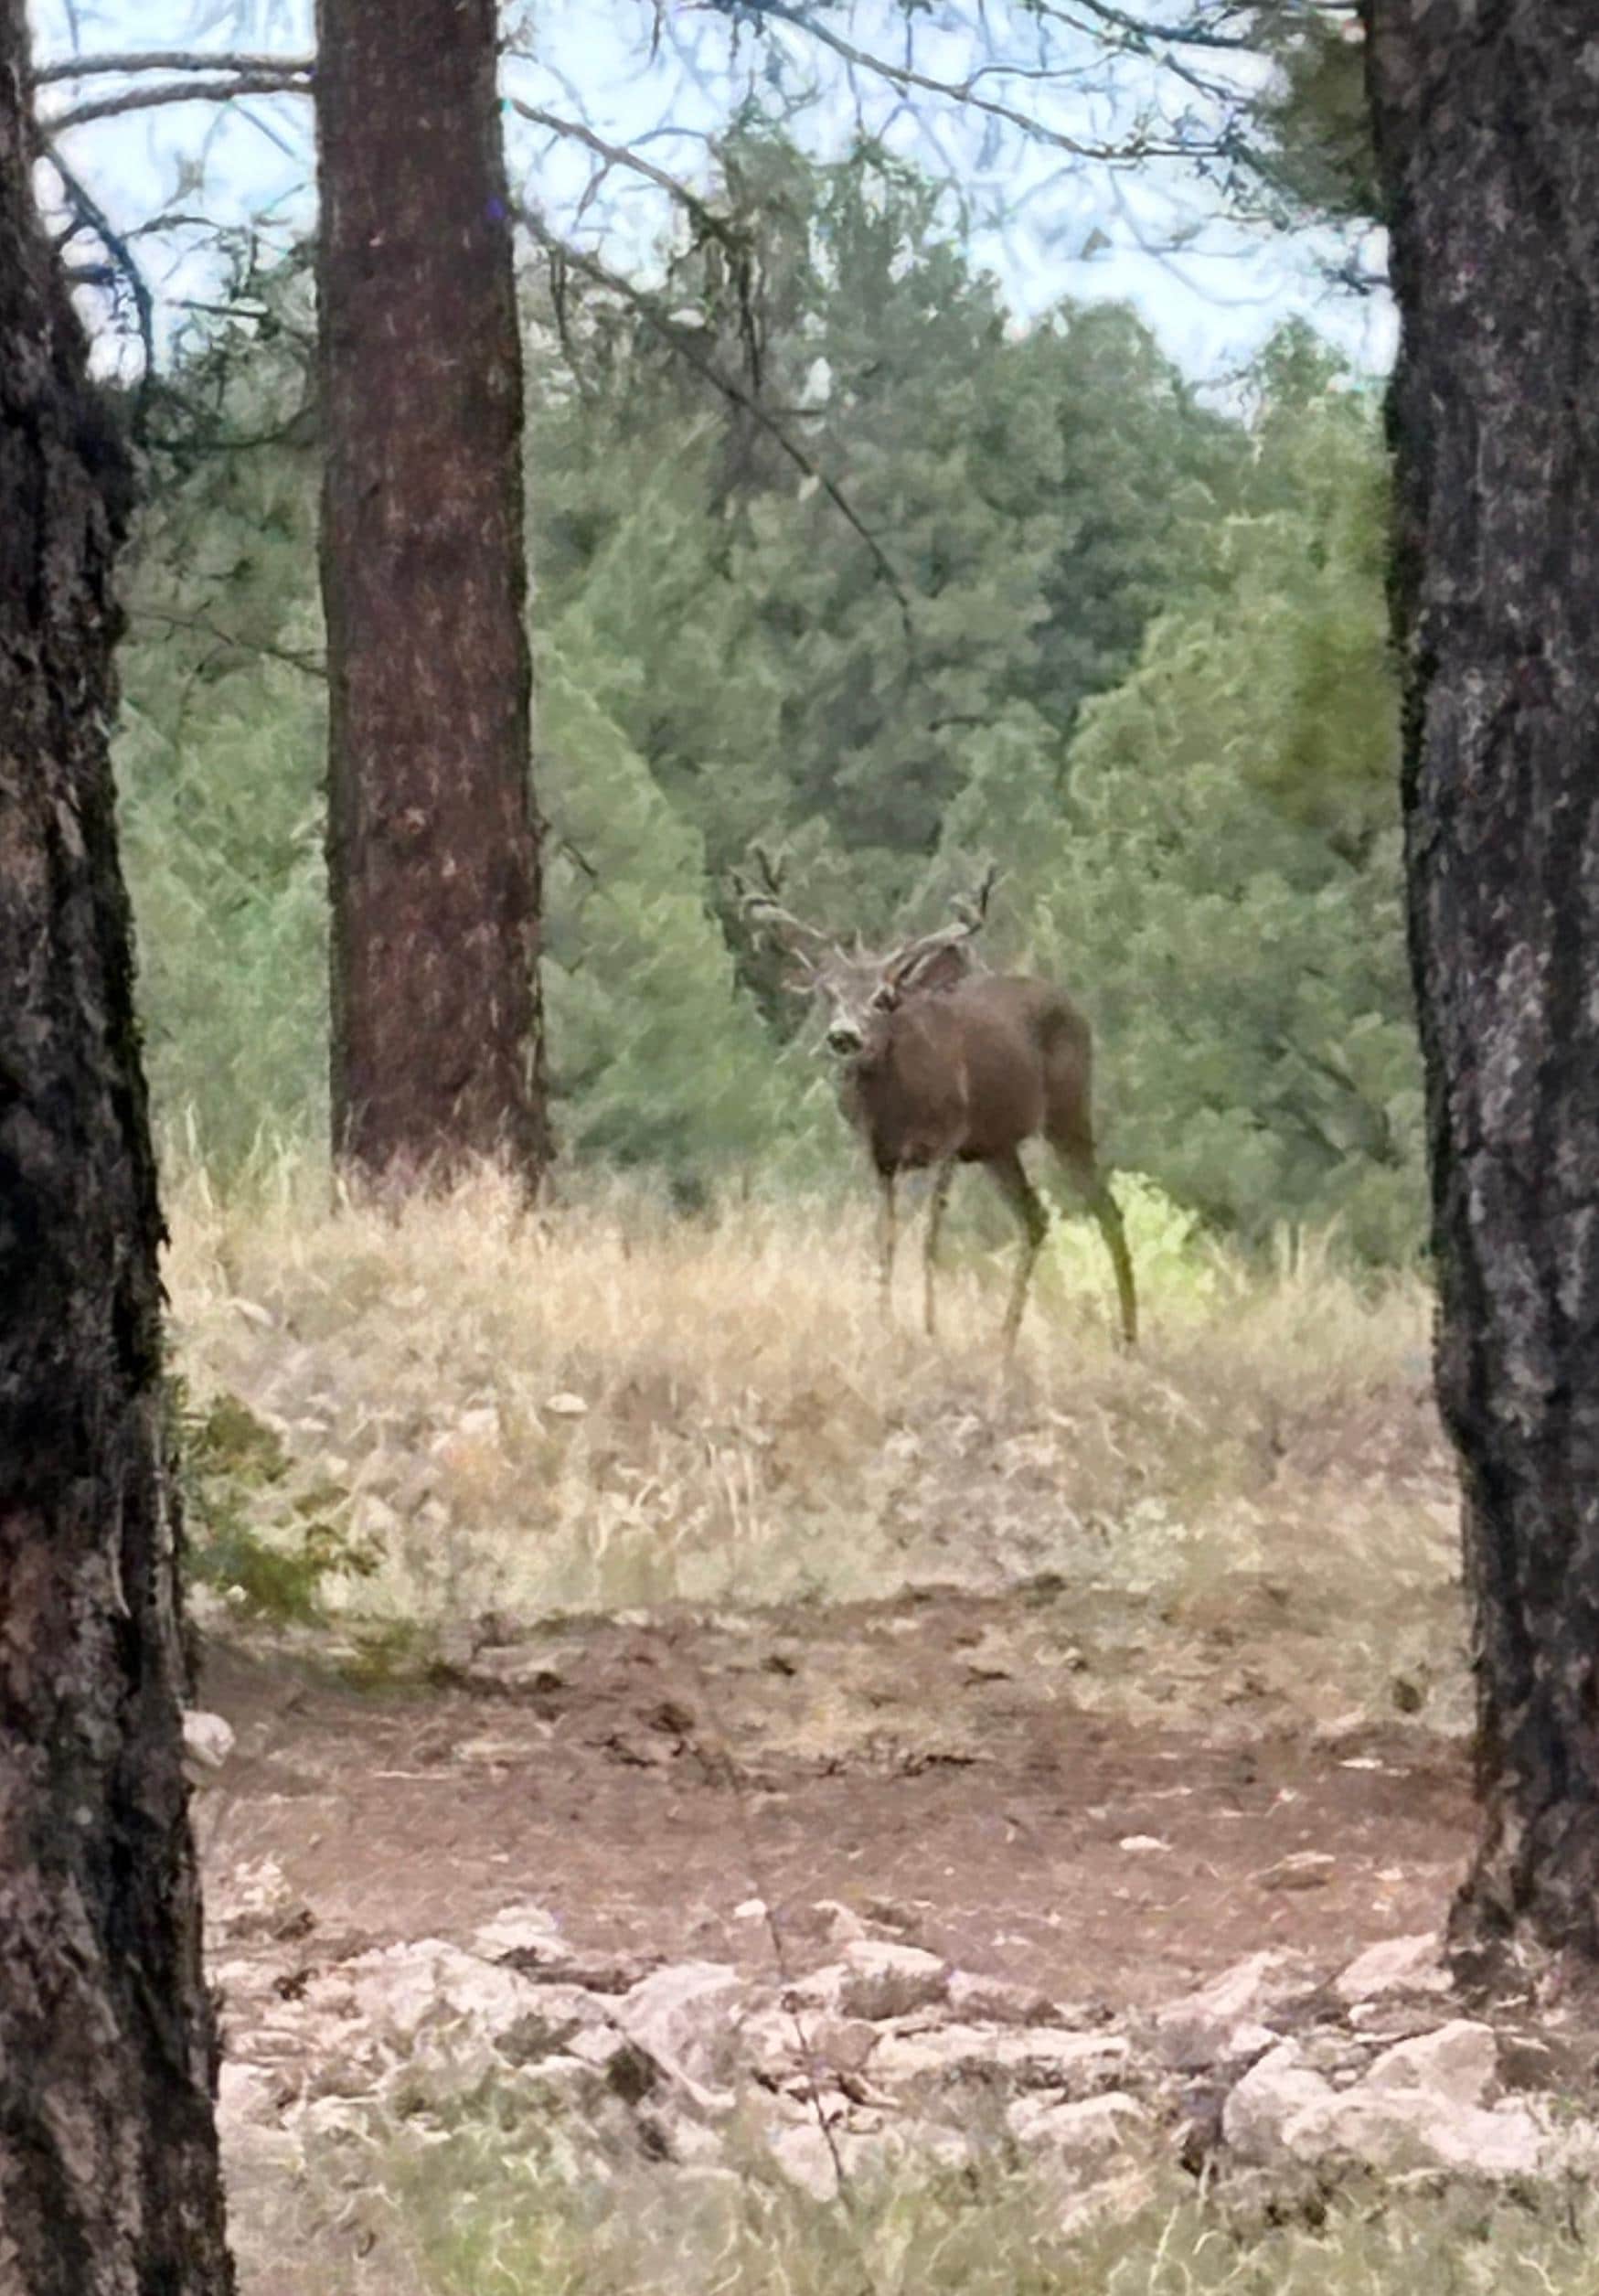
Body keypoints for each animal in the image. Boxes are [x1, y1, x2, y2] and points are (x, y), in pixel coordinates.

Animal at [735, 854, 1137, 1353]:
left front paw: (928, 1328)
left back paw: (1128, 1337)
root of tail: (1073, 1006)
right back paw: (1006, 1338)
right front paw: (884, 1322)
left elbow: (929, 1239)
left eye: (882, 998)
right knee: (1036, 1217)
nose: (844, 1035)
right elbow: (885, 1239)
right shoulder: (880, 1157)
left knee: (1107, 1210)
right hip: (998, 1145)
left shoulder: (949, 1142)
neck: (895, 1108)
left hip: (1068, 1111)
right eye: (829, 994)